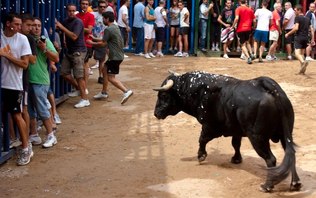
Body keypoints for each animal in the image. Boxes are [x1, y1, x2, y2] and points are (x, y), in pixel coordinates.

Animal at [154, 71, 302, 192]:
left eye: (163, 95)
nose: (156, 113)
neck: (198, 91)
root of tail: (273, 91)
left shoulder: (209, 127)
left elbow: (202, 139)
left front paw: (201, 156)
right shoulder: (236, 130)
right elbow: (235, 144)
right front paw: (236, 159)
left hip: (257, 137)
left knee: (271, 159)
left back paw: (267, 186)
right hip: (286, 135)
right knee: (291, 154)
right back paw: (295, 183)